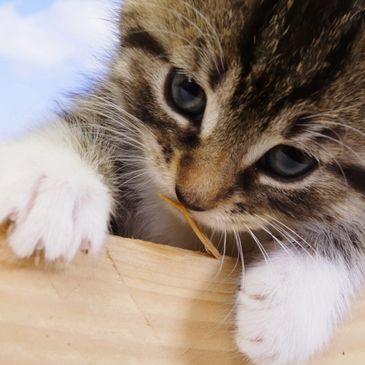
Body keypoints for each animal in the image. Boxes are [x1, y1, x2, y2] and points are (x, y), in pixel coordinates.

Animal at [0, 0, 364, 364]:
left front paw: (292, 298)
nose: (189, 197)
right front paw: (57, 180)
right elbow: (97, 118)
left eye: (291, 160)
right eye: (186, 91)